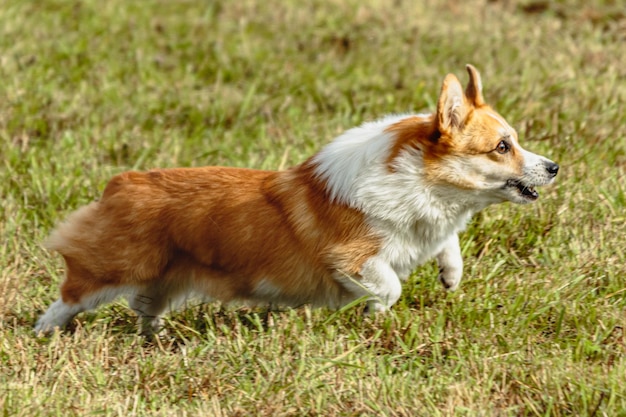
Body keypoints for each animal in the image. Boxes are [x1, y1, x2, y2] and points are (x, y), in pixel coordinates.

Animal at [36, 66, 560, 338]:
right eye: (502, 147)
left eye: (515, 141)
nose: (555, 167)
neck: (422, 181)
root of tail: (121, 183)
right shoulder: (353, 258)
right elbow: (389, 285)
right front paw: (372, 316)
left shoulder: (434, 227)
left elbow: (448, 244)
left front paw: (450, 276)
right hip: (113, 270)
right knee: (70, 297)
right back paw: (45, 333)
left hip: (166, 279)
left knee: (145, 307)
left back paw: (158, 337)